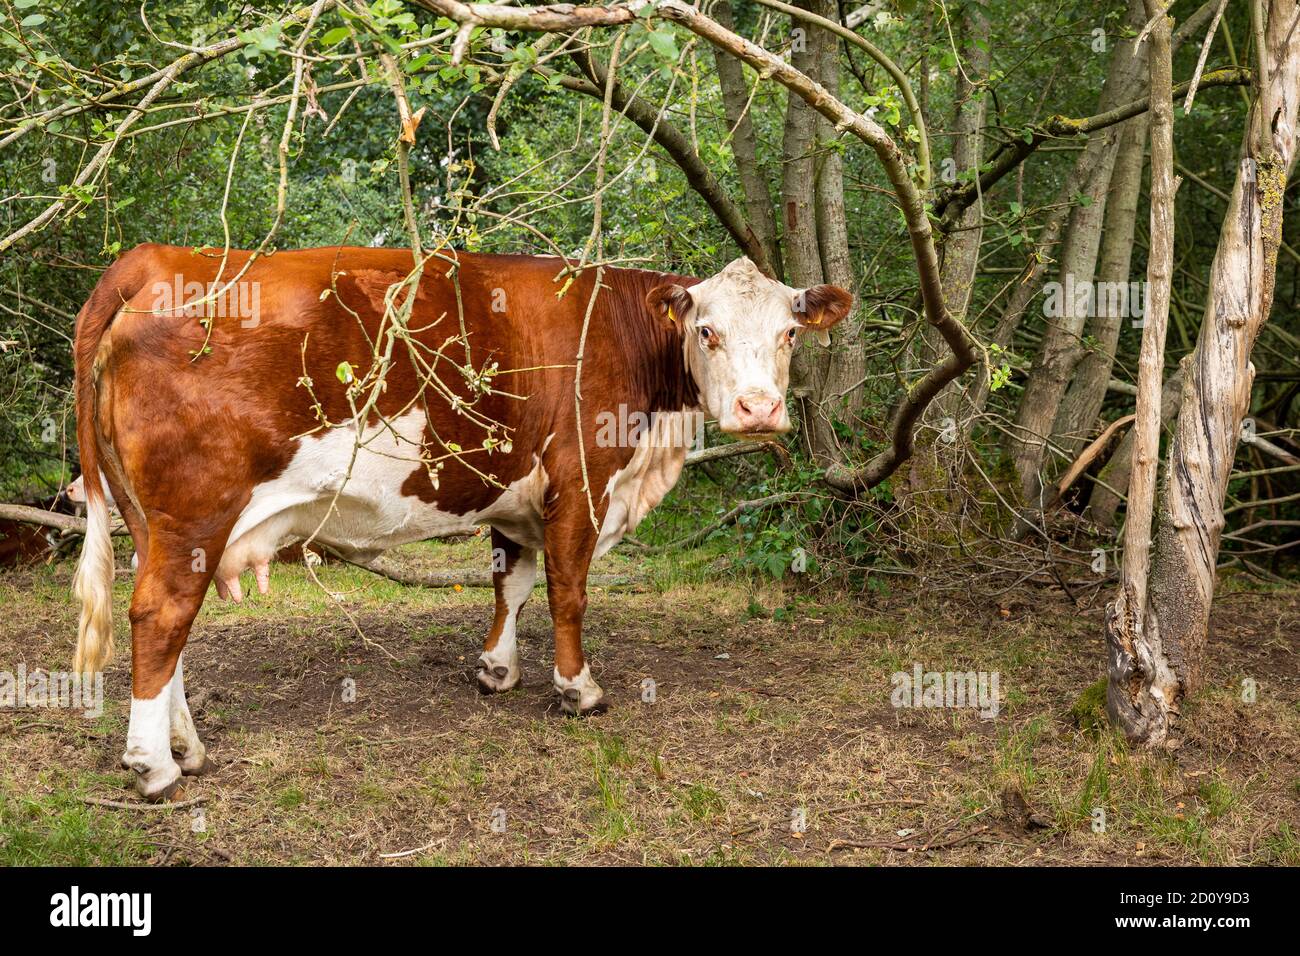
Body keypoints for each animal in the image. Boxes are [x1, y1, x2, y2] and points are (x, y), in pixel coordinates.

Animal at [76, 243, 857, 796]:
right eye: (707, 330)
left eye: (790, 334)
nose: (759, 409)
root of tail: (154, 258)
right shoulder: (581, 480)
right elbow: (568, 591)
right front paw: (578, 689)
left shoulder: (516, 495)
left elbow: (512, 582)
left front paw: (497, 669)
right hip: (195, 511)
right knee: (160, 615)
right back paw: (153, 766)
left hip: (154, 520)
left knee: (165, 622)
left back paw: (186, 746)